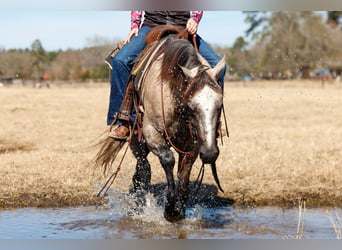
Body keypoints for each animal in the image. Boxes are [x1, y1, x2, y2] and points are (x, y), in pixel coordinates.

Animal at [95, 27, 226, 223]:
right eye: (191, 105)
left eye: (219, 104)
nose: (210, 154)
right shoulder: (151, 131)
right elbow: (167, 159)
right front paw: (170, 209)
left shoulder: (193, 144)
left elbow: (184, 174)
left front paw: (180, 209)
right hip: (136, 138)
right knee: (144, 168)